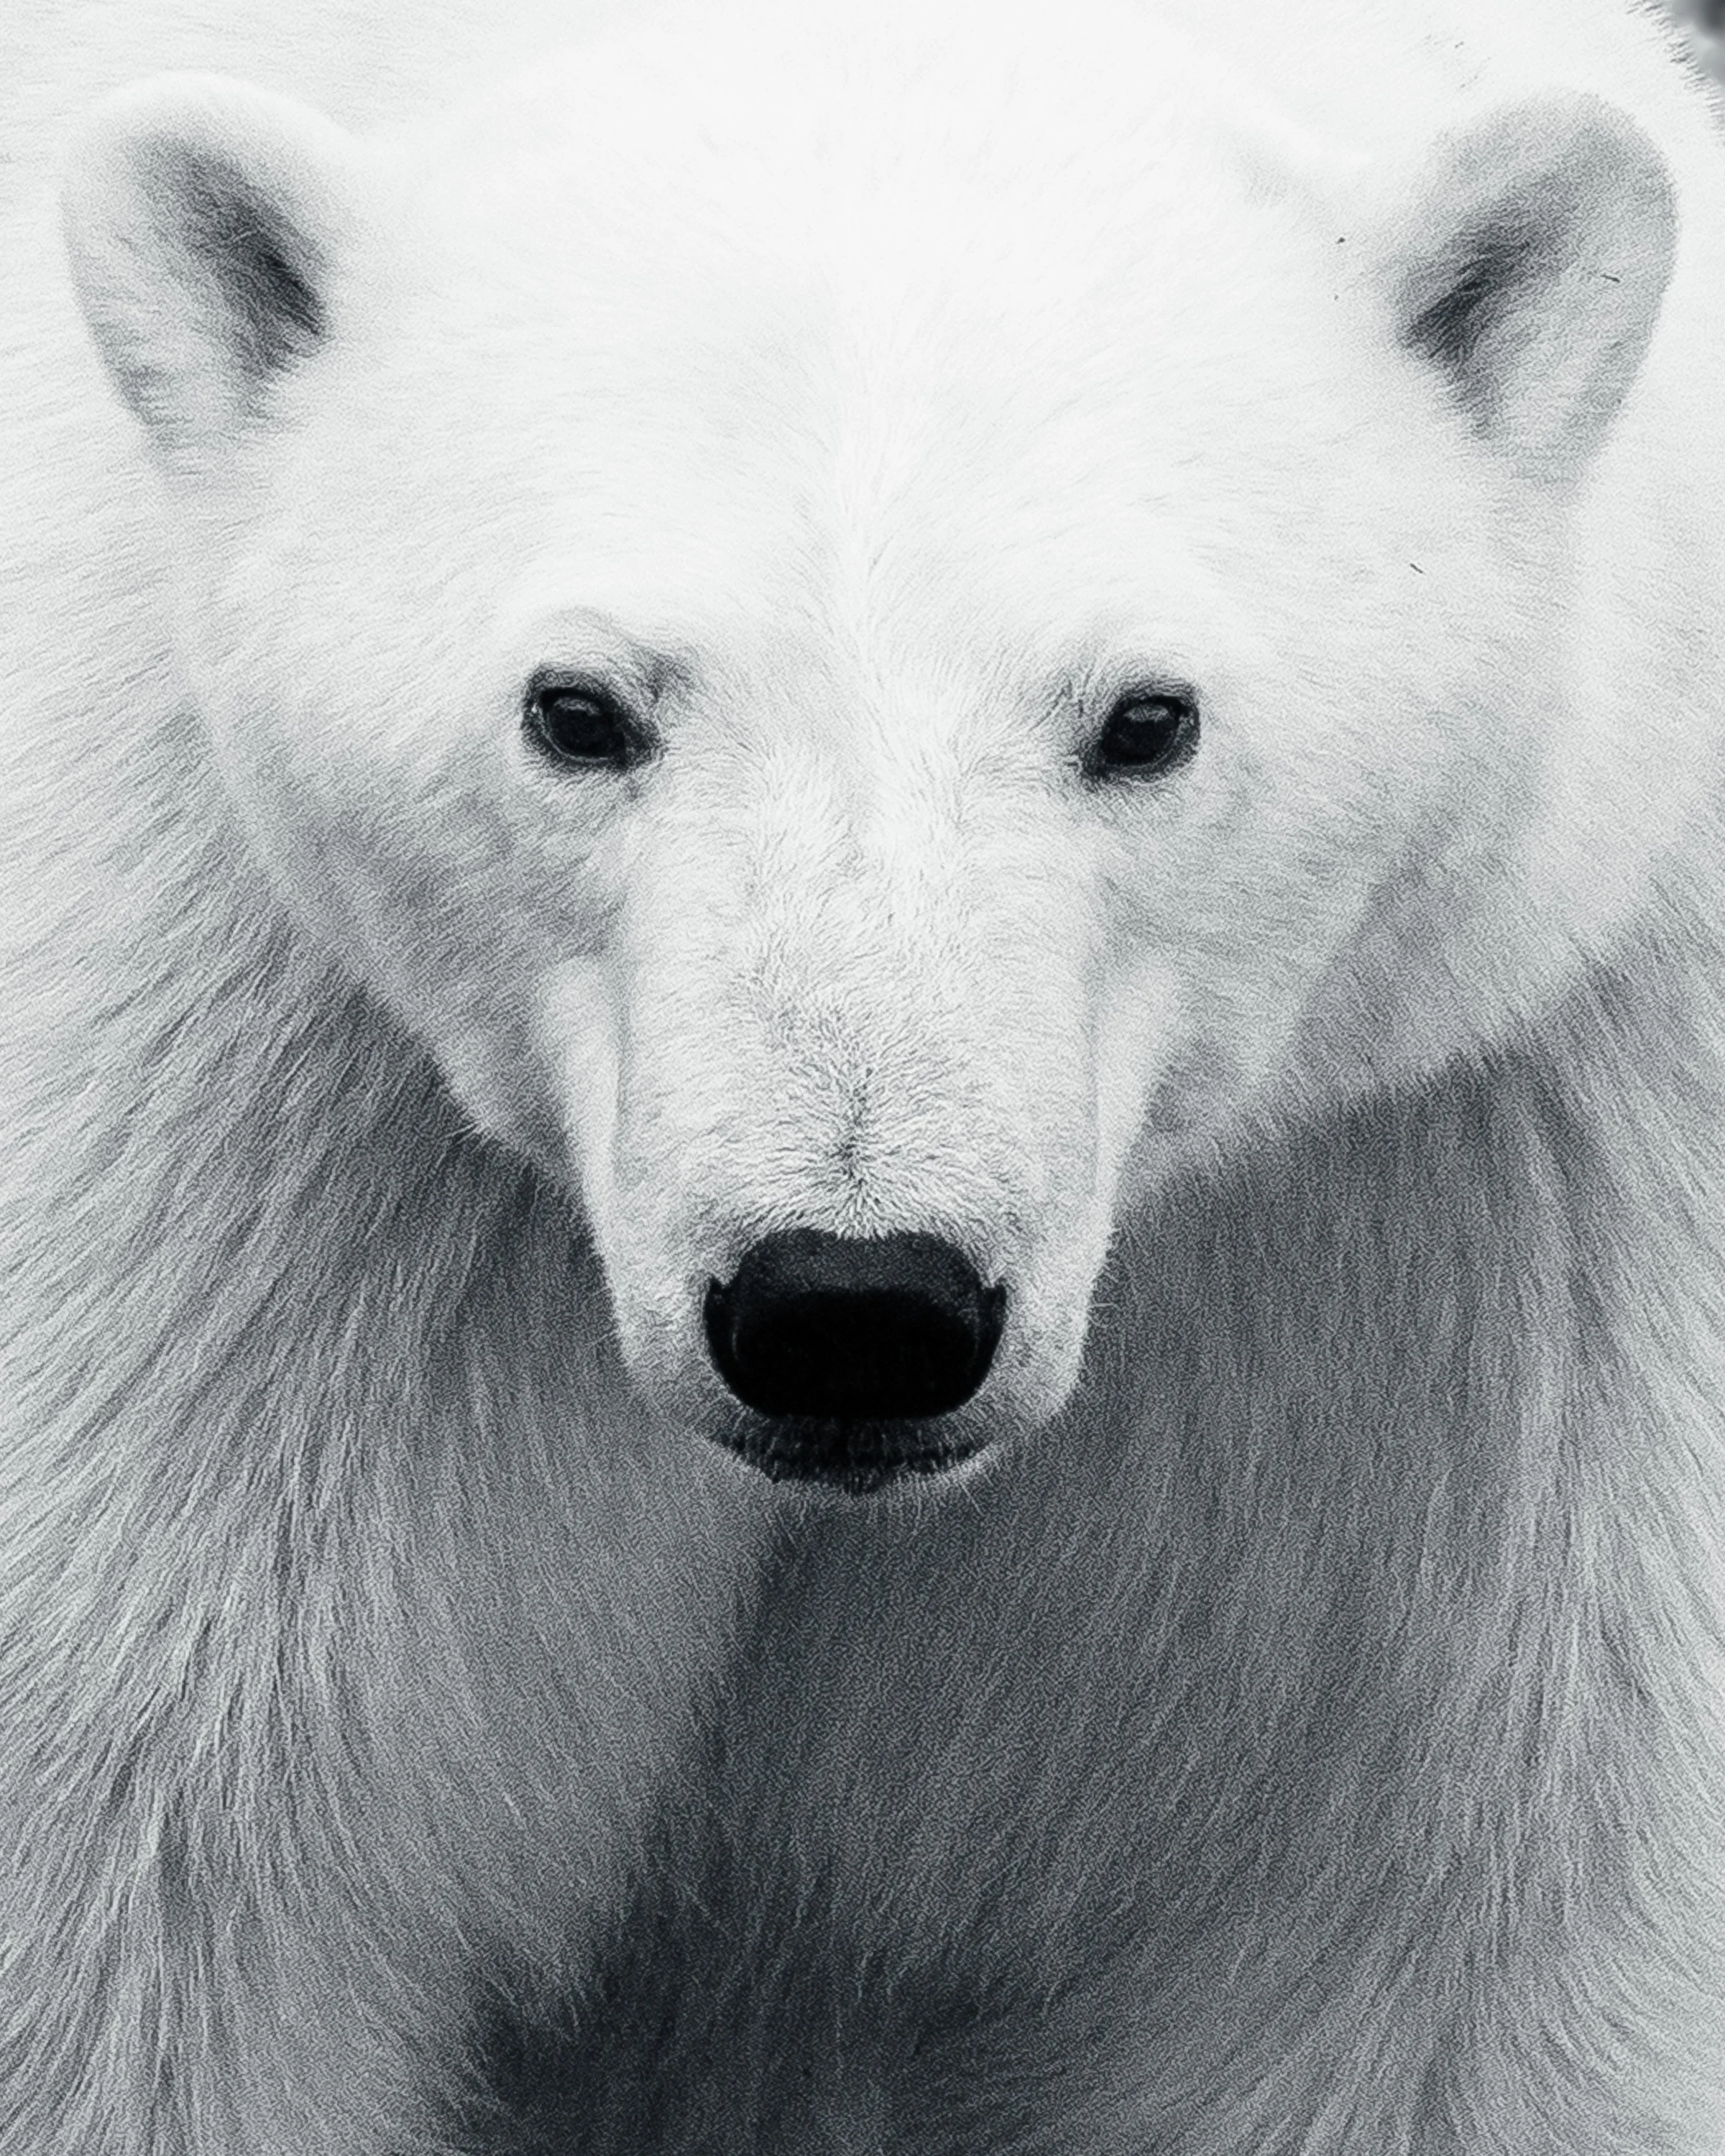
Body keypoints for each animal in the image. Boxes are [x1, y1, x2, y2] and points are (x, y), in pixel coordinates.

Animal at [3, 0, 1725, 2148]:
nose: (850, 1306)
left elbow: (1446, 1935)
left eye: (1144, 718)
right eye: (578, 708)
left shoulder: (1504, 1211)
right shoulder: (220, 1136)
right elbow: (145, 1904)